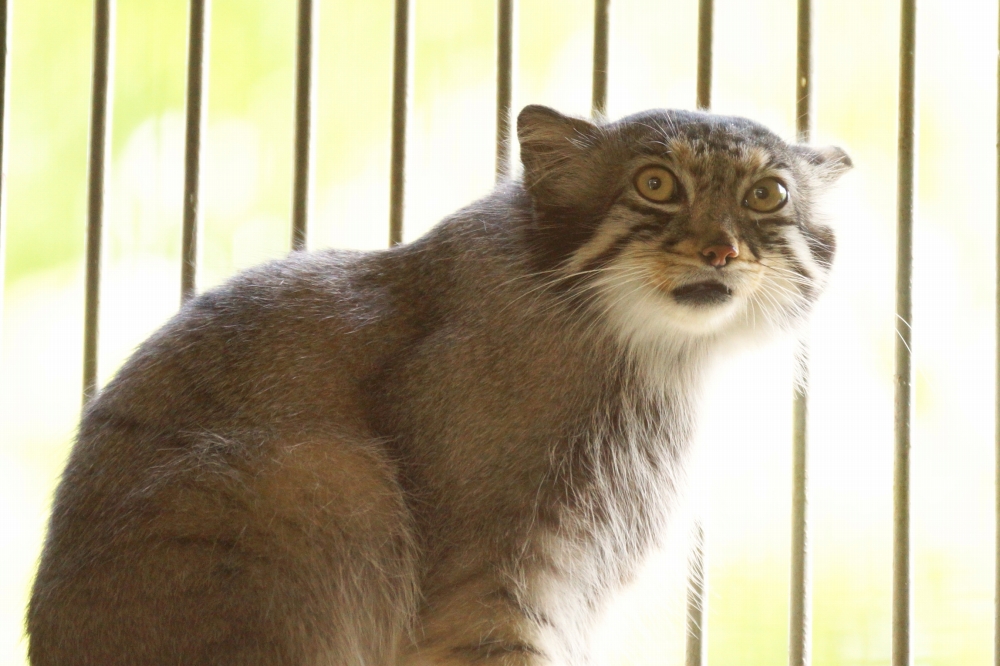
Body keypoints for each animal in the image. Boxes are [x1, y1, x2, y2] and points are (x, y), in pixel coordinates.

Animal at [25, 106, 852, 660]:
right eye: (656, 183)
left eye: (767, 196)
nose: (720, 250)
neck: (654, 354)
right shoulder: (488, 578)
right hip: (326, 477)